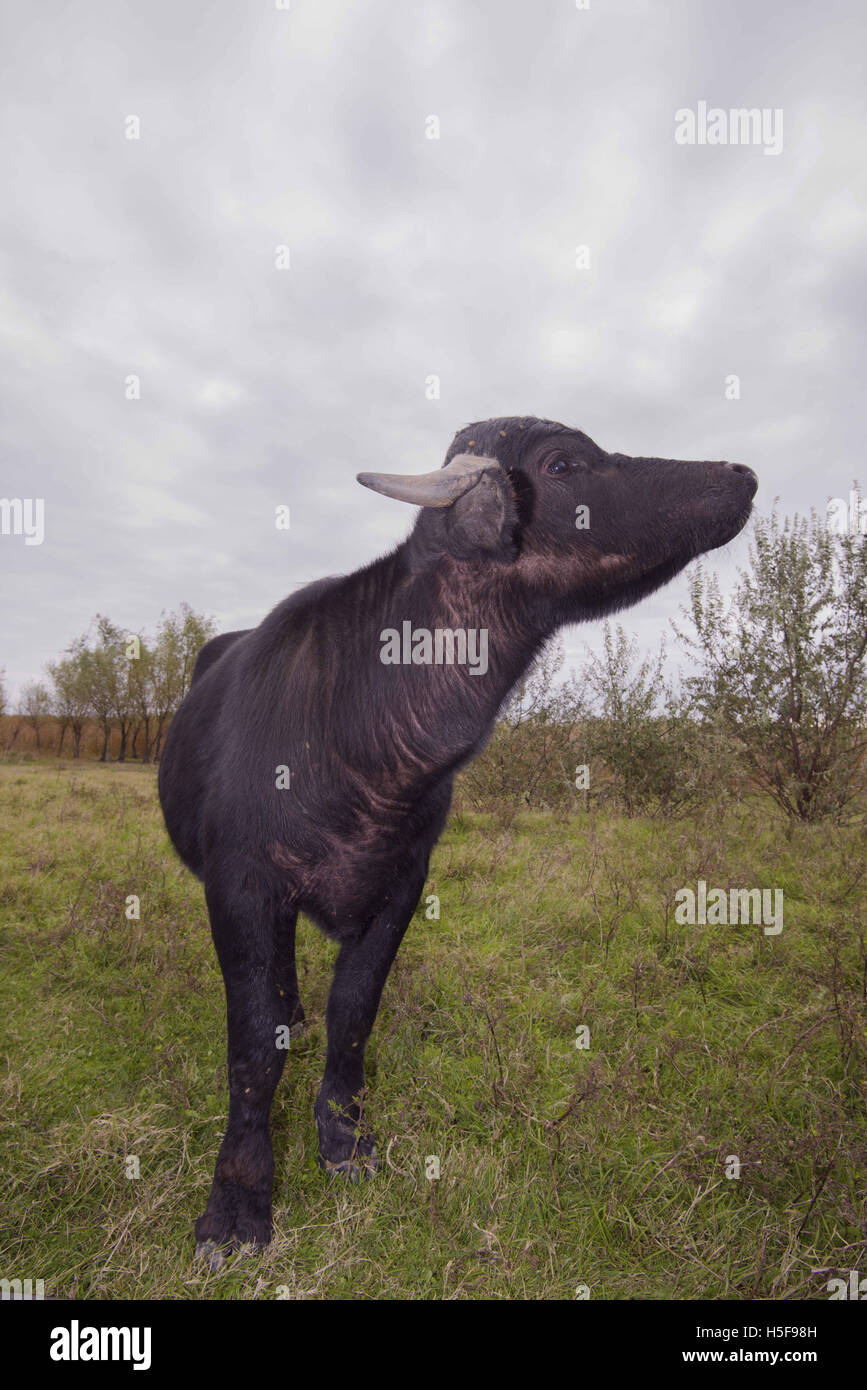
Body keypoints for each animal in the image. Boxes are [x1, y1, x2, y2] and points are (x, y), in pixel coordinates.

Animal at [159, 411, 755, 1262]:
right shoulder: (241, 889)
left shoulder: (401, 887)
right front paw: (236, 1204)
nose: (740, 473)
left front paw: (344, 1140)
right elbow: (252, 1048)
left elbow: (353, 1017)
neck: (359, 738)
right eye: (563, 462)